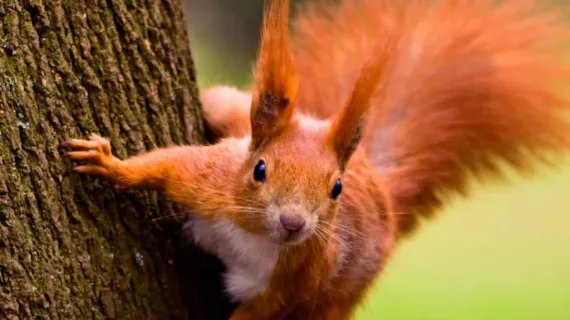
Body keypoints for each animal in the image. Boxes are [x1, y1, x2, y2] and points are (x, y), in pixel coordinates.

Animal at [61, 0, 568, 318]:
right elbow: (164, 166)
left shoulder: (296, 284)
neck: (255, 235)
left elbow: (258, 315)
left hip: (338, 299)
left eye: (335, 188)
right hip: (230, 110)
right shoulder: (210, 181)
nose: (293, 224)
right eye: (259, 170)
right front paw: (108, 163)